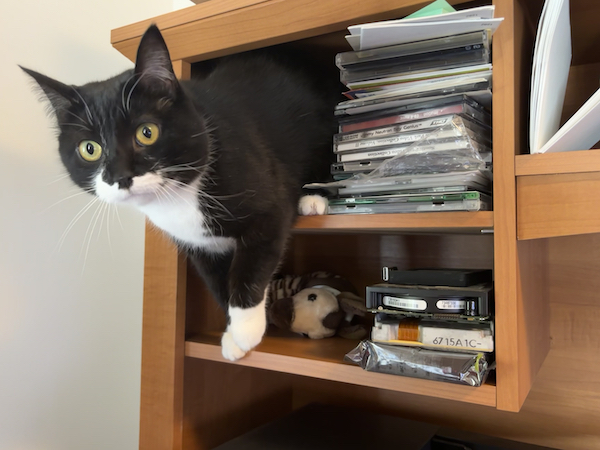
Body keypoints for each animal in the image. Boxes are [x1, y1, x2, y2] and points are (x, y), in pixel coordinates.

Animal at [23, 25, 340, 362]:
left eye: (147, 132)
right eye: (89, 149)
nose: (120, 177)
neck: (178, 199)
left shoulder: (267, 203)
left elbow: (251, 266)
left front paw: (245, 330)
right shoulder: (199, 244)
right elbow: (216, 280)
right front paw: (232, 334)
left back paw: (313, 199)